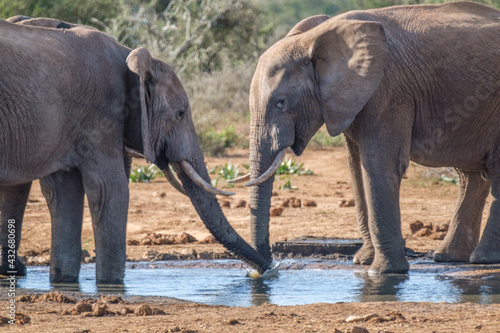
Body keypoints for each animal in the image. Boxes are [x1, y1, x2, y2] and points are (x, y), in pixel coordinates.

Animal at [0, 17, 270, 282]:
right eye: (180, 113)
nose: (266, 270)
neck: (127, 55)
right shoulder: (100, 114)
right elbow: (110, 189)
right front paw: (112, 286)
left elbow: (64, 193)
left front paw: (65, 283)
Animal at [235, 0, 500, 272]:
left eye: (281, 103)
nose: (269, 268)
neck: (313, 39)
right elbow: (356, 167)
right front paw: (362, 261)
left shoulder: (388, 90)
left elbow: (379, 164)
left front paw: (383, 272)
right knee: (469, 176)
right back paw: (448, 257)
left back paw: (482, 258)